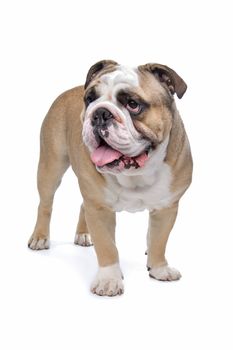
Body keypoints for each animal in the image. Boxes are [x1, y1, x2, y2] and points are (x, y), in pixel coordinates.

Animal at [28, 59, 192, 296]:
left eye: (133, 104)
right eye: (89, 99)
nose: (99, 113)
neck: (136, 173)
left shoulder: (166, 208)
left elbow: (160, 241)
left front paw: (159, 268)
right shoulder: (100, 209)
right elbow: (107, 247)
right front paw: (109, 280)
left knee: (82, 205)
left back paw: (84, 235)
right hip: (51, 166)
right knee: (45, 204)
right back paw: (40, 237)